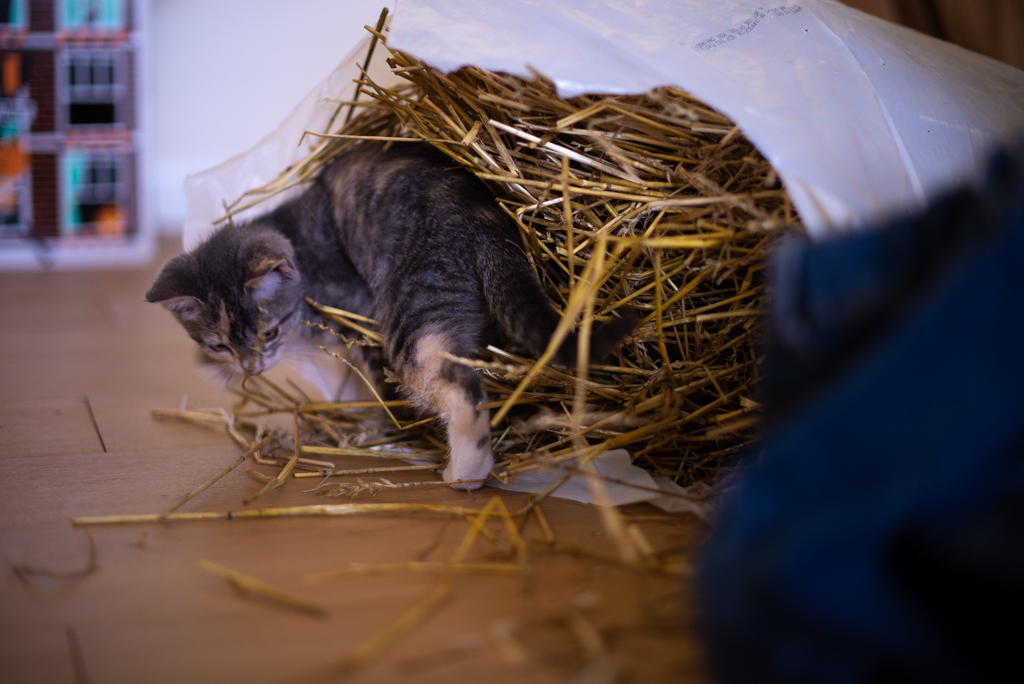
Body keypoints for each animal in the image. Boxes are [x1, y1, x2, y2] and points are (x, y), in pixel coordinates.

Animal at [148, 143, 634, 485]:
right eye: (219, 345)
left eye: (269, 333)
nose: (252, 366)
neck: (300, 256)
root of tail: (488, 221)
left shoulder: (355, 312)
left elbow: (373, 380)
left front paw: (381, 421)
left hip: (411, 309)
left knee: (457, 386)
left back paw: (466, 472)